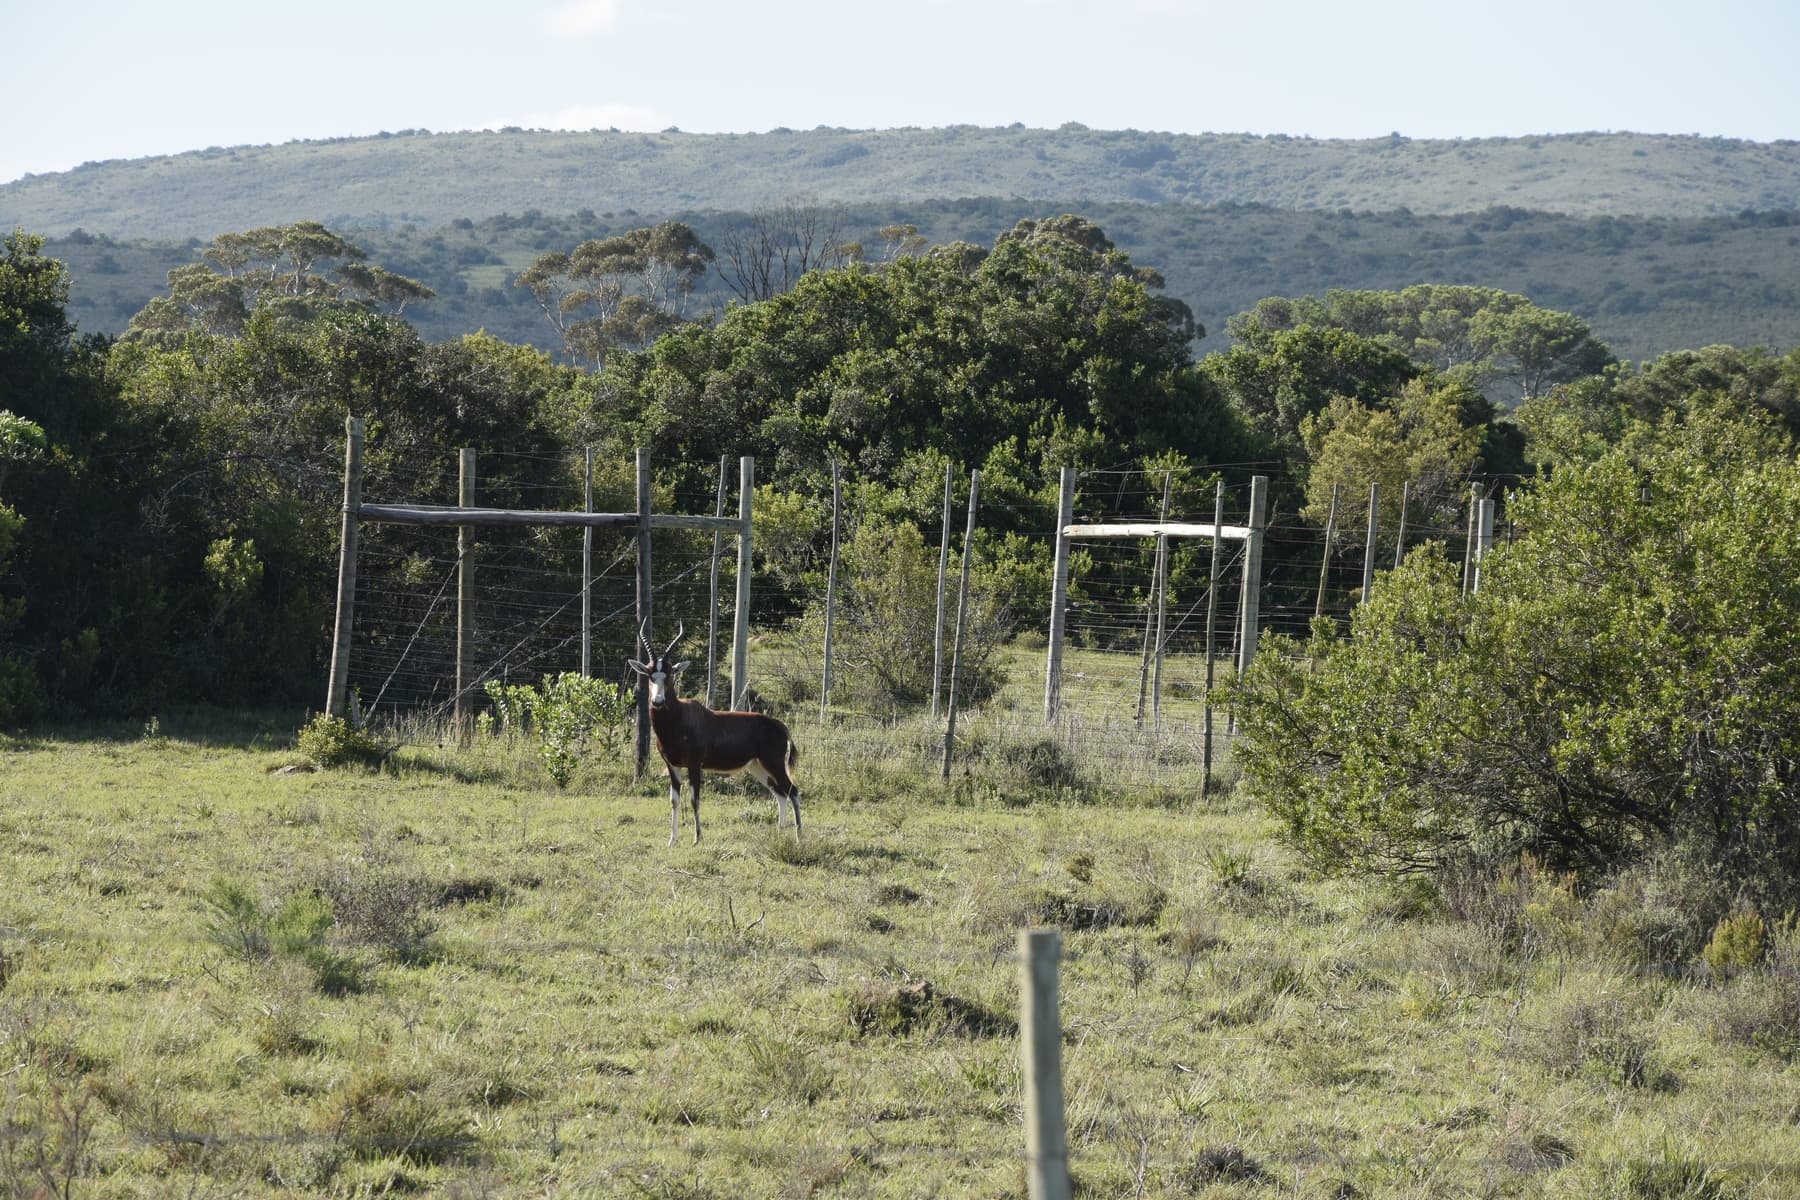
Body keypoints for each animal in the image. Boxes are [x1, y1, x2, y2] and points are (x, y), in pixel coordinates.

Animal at [630, 629, 806, 845]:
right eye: (650, 675)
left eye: (670, 674)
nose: (658, 701)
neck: (680, 716)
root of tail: (780, 726)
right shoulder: (672, 765)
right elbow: (674, 800)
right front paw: (672, 840)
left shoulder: (694, 764)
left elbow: (694, 799)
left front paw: (697, 838)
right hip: (757, 767)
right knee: (780, 795)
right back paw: (780, 834)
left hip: (774, 764)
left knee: (793, 791)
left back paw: (799, 837)